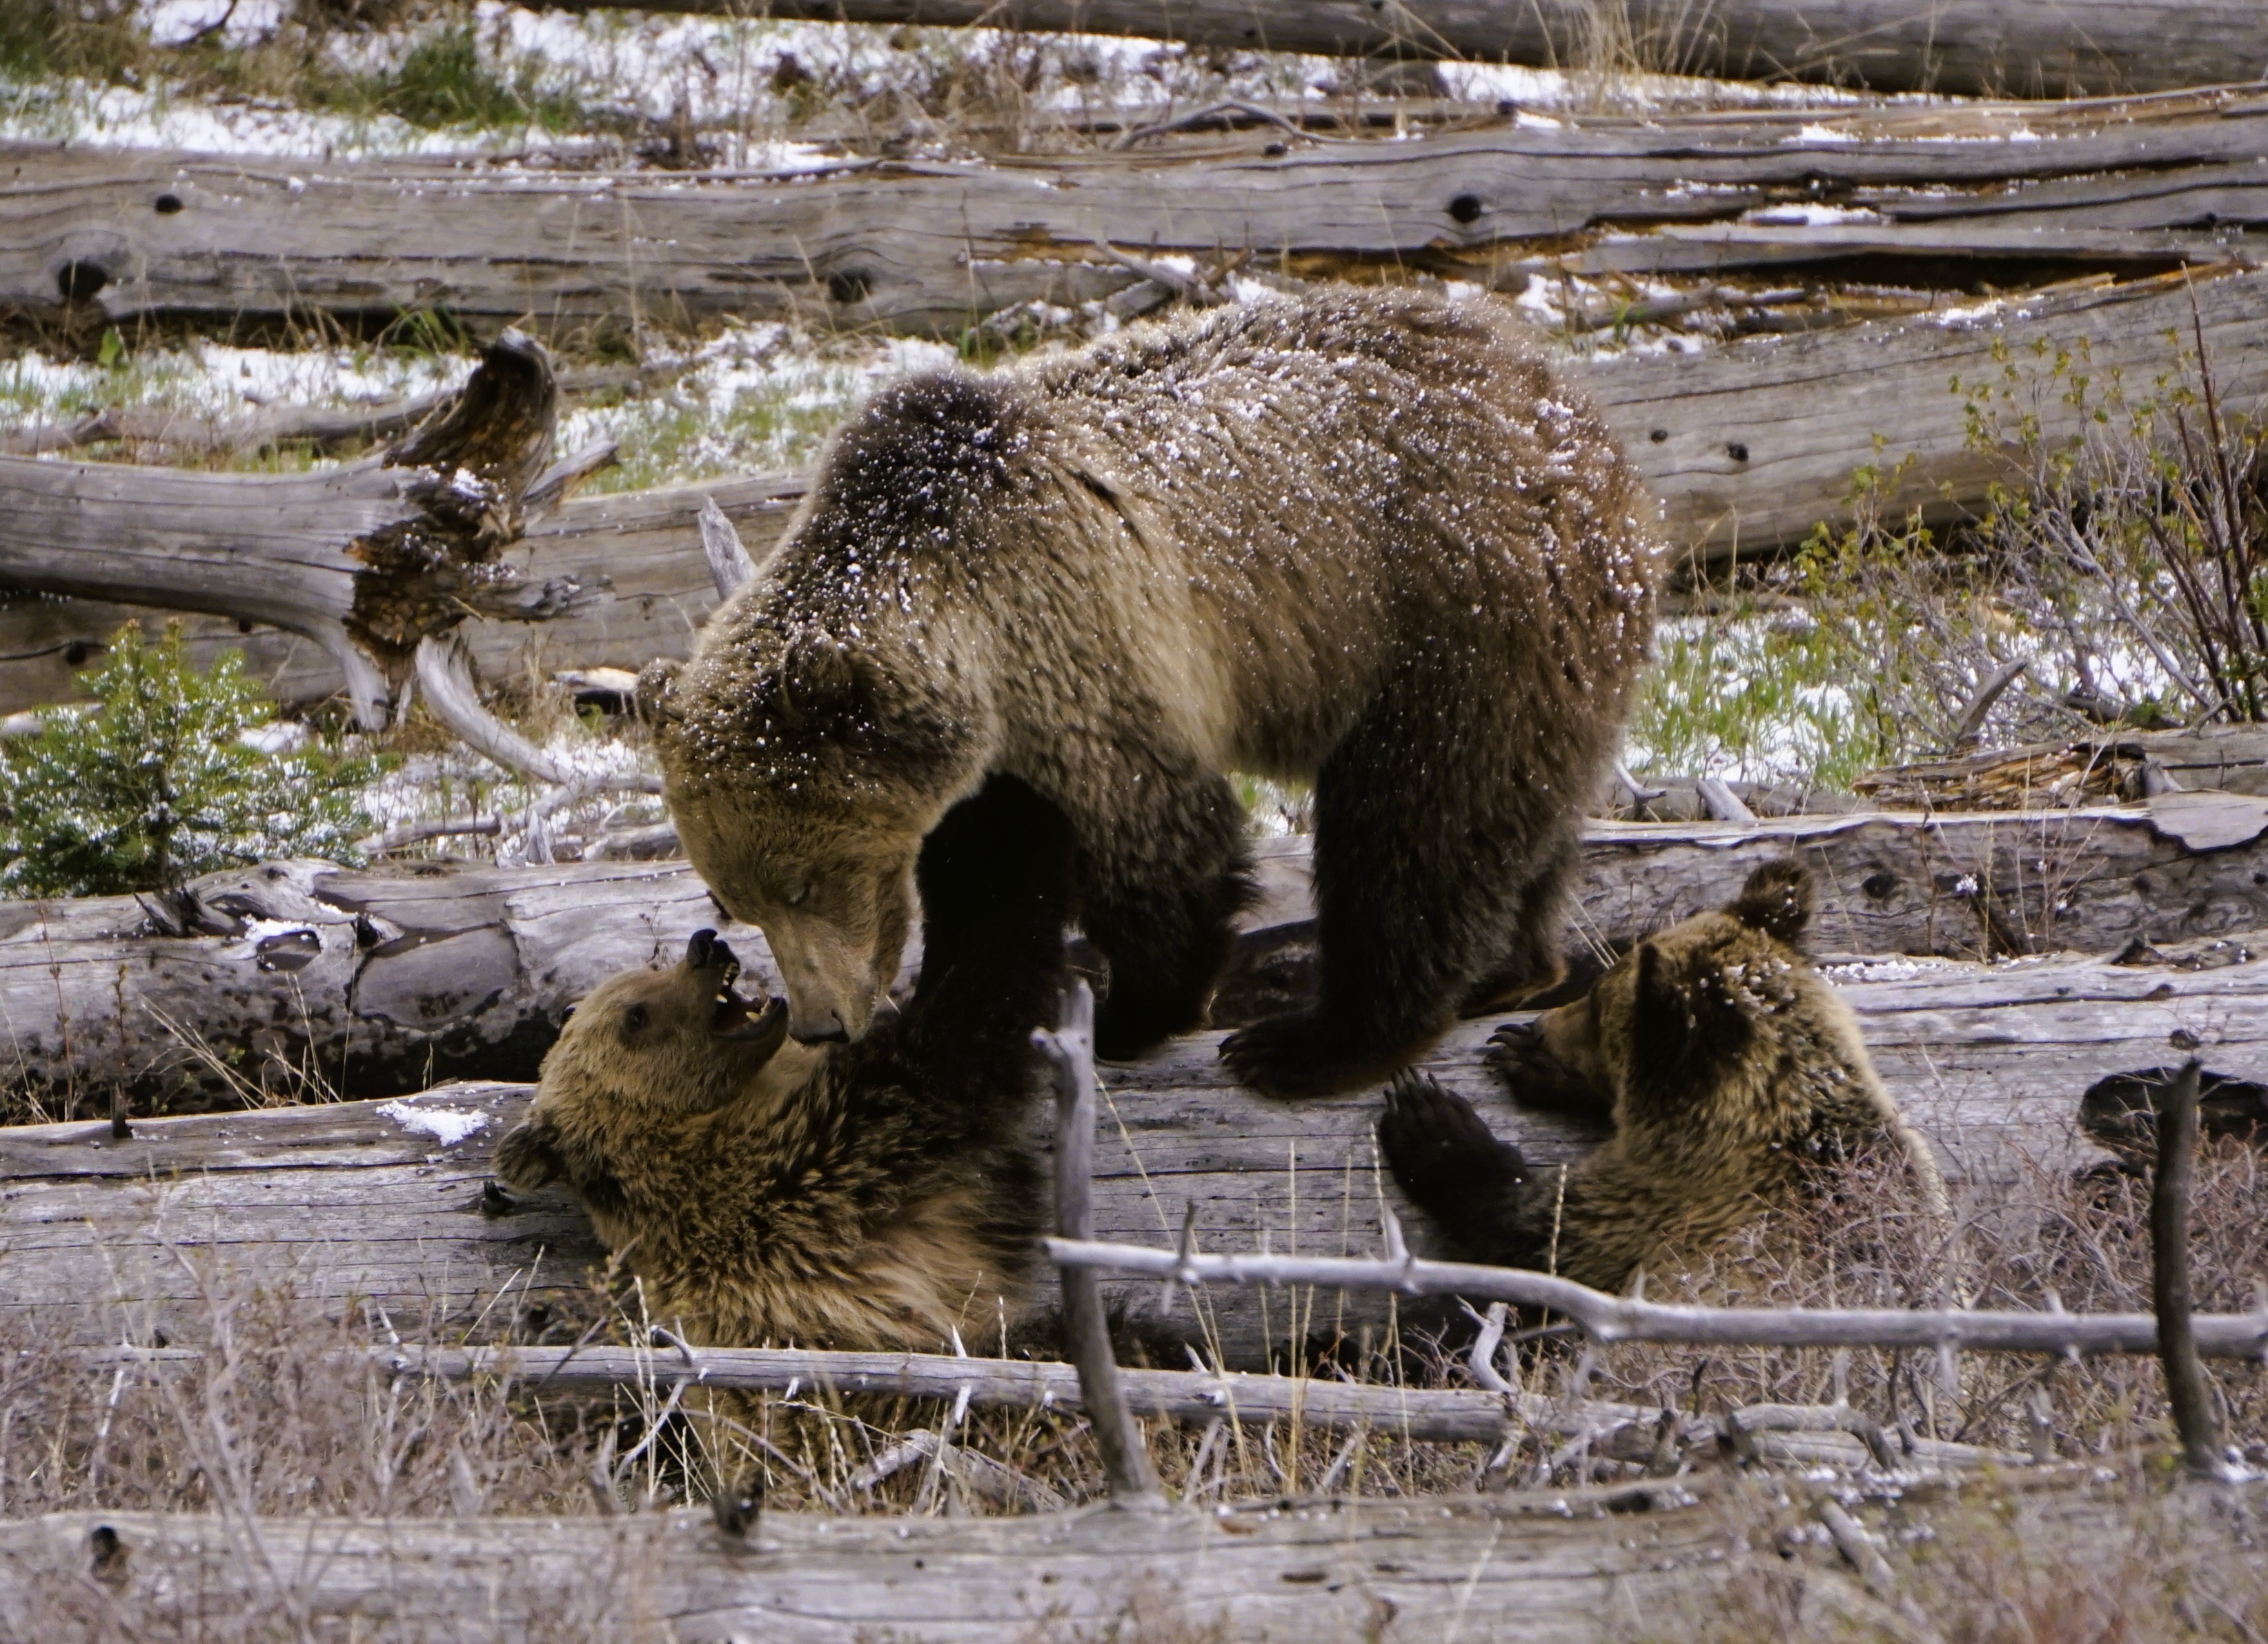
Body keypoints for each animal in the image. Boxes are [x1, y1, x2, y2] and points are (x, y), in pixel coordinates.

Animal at [638, 285, 1661, 1099]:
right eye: (733, 898)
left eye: (806, 878)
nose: (817, 1021)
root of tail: (1583, 424)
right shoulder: (996, 738)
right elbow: (986, 867)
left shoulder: (1078, 630)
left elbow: (1161, 835)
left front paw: (1134, 1010)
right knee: (1515, 810)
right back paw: (1514, 966)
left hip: (1450, 611)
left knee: (1415, 821)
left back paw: (1314, 1041)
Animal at [1377, 859, 1951, 1294]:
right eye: (1597, 990)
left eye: (1596, 1006)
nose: (1540, 1028)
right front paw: (1522, 1057)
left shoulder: (1676, 1214)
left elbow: (1539, 1235)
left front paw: (1430, 1121)